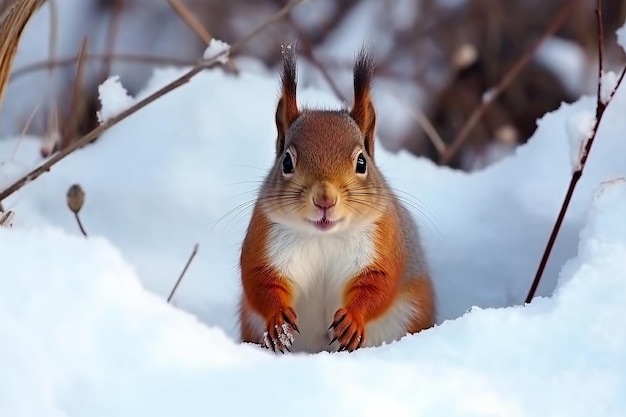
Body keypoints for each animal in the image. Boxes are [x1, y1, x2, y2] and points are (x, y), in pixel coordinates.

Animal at [239, 46, 434, 352]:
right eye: (286, 162)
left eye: (362, 163)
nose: (325, 199)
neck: (324, 238)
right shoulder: (263, 241)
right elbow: (259, 281)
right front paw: (278, 320)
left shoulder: (383, 245)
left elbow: (379, 285)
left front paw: (352, 320)